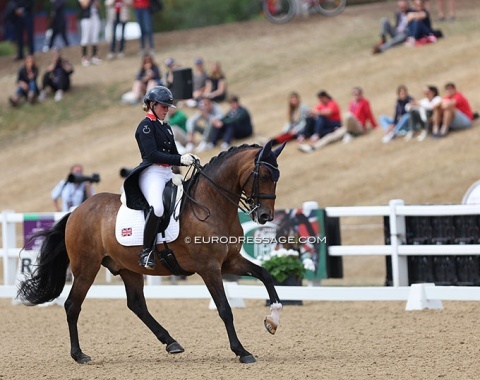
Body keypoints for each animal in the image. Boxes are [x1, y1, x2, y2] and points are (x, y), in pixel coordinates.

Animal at [18, 141, 286, 364]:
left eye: (277, 177)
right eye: (263, 175)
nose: (265, 216)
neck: (212, 204)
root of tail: (76, 210)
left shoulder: (230, 261)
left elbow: (265, 275)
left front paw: (272, 321)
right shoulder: (209, 268)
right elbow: (224, 309)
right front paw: (242, 351)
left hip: (128, 268)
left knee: (137, 305)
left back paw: (172, 343)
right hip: (86, 268)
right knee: (72, 305)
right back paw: (79, 355)